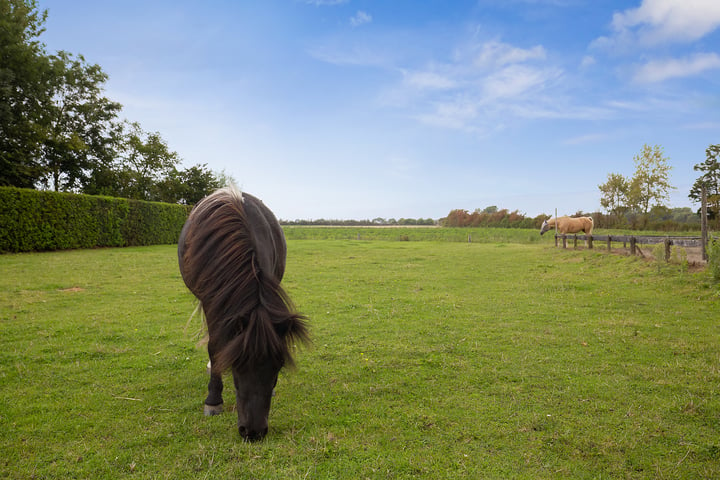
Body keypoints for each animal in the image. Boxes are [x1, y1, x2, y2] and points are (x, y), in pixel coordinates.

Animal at [179, 188, 308, 442]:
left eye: (279, 365)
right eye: (237, 364)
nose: (253, 432)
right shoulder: (211, 302)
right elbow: (215, 346)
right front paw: (213, 400)